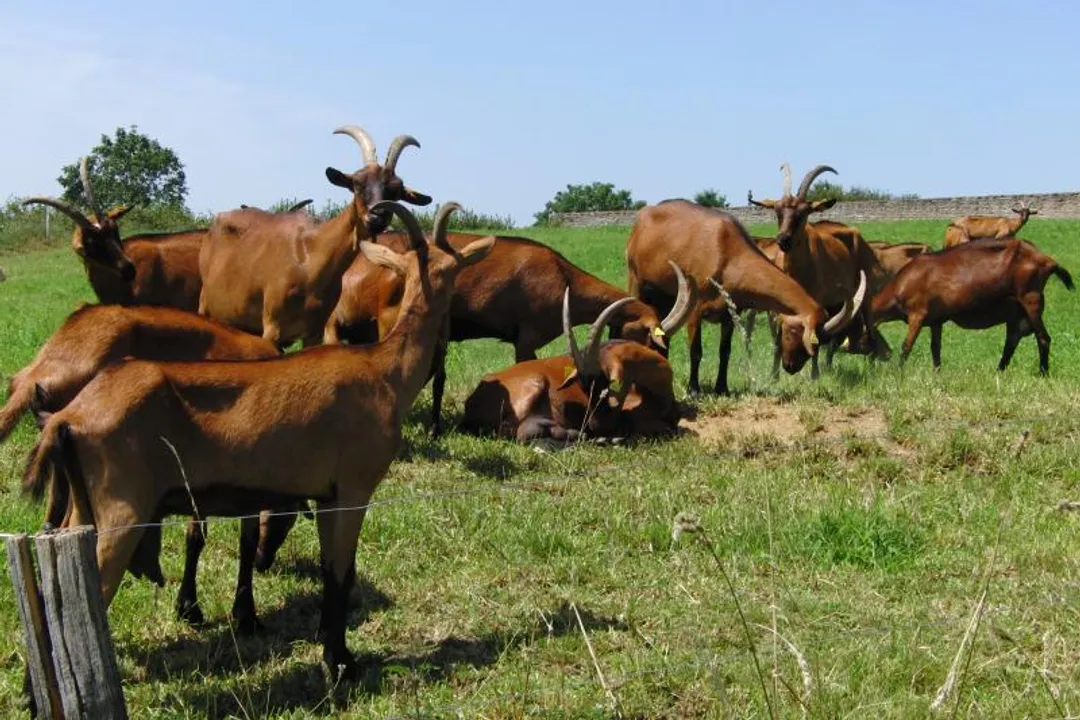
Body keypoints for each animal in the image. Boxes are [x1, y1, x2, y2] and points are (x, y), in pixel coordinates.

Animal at [0, 303, 302, 631]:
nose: (265, 564)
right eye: (288, 518)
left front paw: (189, 607)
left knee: (52, 523)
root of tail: (41, 367)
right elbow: (232, 540)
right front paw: (240, 613)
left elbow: (196, 537)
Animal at [198, 126, 431, 348]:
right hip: (205, 306)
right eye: (357, 183)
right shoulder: (273, 325)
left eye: (396, 190)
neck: (310, 256)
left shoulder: (315, 332)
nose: (377, 216)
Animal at [626, 199, 863, 395]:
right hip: (636, 281)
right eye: (795, 330)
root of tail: (644, 215)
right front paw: (694, 389)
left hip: (666, 296)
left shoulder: (730, 313)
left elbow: (725, 351)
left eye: (820, 341)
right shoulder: (694, 310)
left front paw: (722, 388)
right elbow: (696, 351)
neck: (726, 253)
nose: (791, 366)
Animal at [748, 163, 890, 376]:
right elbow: (777, 339)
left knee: (866, 327)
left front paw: (813, 376)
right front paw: (774, 376)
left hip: (864, 293)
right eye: (777, 211)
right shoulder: (777, 307)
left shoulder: (817, 302)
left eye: (803, 213)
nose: (783, 240)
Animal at [871, 237, 1073, 373]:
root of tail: (1048, 260)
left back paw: (1043, 372)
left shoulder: (917, 313)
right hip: (1017, 311)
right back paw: (999, 371)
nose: (883, 356)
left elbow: (907, 345)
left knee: (1043, 338)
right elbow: (935, 347)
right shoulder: (936, 320)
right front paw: (937, 373)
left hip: (1030, 299)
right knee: (1012, 340)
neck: (900, 285)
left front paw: (898, 372)